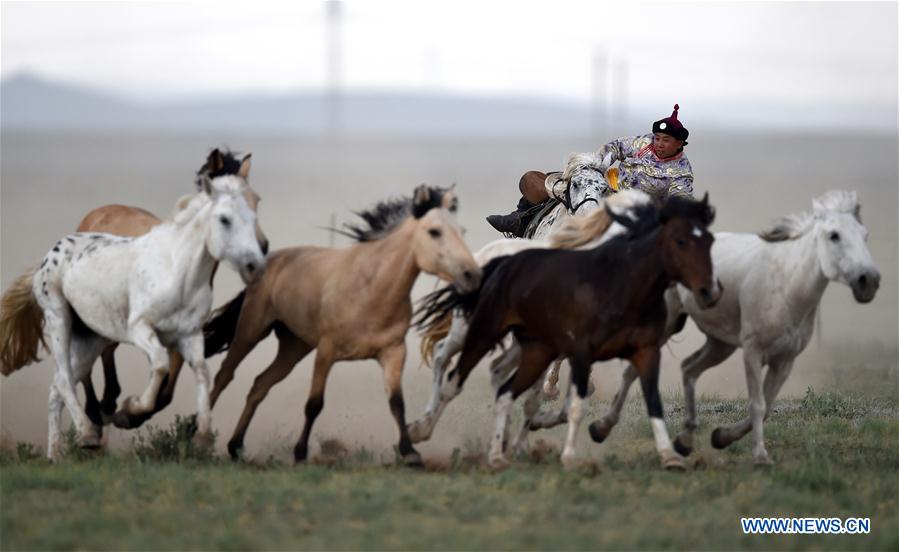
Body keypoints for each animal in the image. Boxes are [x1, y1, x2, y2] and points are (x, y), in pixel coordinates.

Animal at [0, 161, 268, 462]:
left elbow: (201, 372)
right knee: (66, 381)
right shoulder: (140, 329)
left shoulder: (190, 335)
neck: (177, 272)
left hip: (90, 338)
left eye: (254, 210)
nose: (255, 264)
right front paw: (131, 409)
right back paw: (87, 435)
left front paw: (202, 438)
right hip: (60, 321)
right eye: (224, 219)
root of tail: (50, 254)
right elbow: (160, 365)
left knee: (56, 387)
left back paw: (56, 455)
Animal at [418, 194, 720, 470]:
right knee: (444, 358)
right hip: (469, 329)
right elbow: (548, 397)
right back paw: (423, 425)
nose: (708, 290)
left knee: (497, 371)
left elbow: (553, 398)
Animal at [592, 188, 880, 464]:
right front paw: (760, 456)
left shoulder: (785, 360)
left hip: (721, 344)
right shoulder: (753, 351)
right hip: (666, 326)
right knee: (633, 371)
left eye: (865, 234)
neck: (787, 284)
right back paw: (601, 427)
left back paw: (685, 440)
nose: (869, 280)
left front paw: (722, 437)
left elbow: (767, 406)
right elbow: (758, 404)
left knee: (689, 368)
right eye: (834, 235)